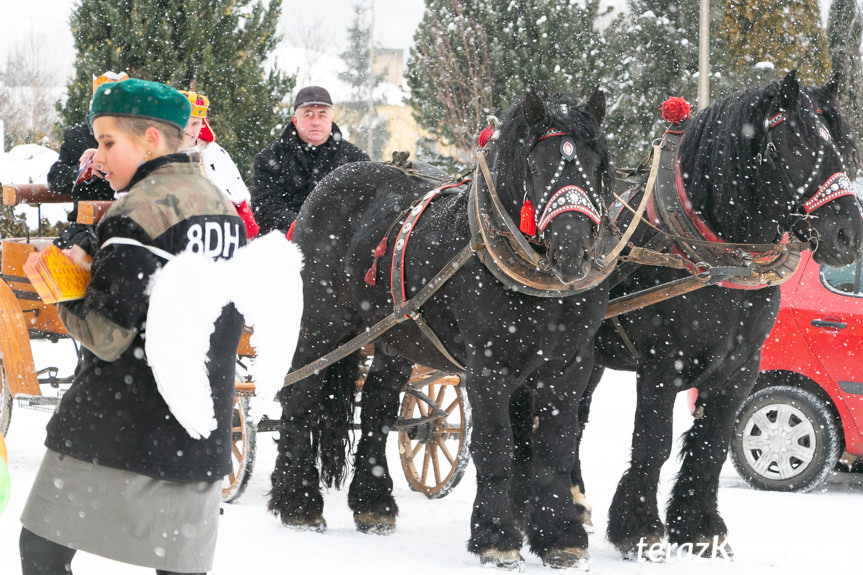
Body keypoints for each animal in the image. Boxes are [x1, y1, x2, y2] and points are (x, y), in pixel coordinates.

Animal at [270, 91, 616, 572]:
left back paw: (373, 505)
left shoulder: (569, 366)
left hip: (394, 336)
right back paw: (298, 504)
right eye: (534, 165)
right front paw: (496, 538)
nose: (572, 250)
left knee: (377, 405)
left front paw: (561, 537)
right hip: (324, 322)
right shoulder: (488, 366)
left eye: (597, 162)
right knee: (301, 392)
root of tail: (328, 184)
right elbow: (496, 444)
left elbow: (556, 445)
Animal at [560, 70, 863, 560]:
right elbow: (654, 442)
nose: (847, 234)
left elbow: (712, 443)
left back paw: (573, 502)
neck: (715, 256)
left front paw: (700, 527)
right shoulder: (662, 364)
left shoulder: (740, 368)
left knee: (572, 415)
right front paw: (640, 529)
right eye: (790, 145)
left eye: (838, 143)